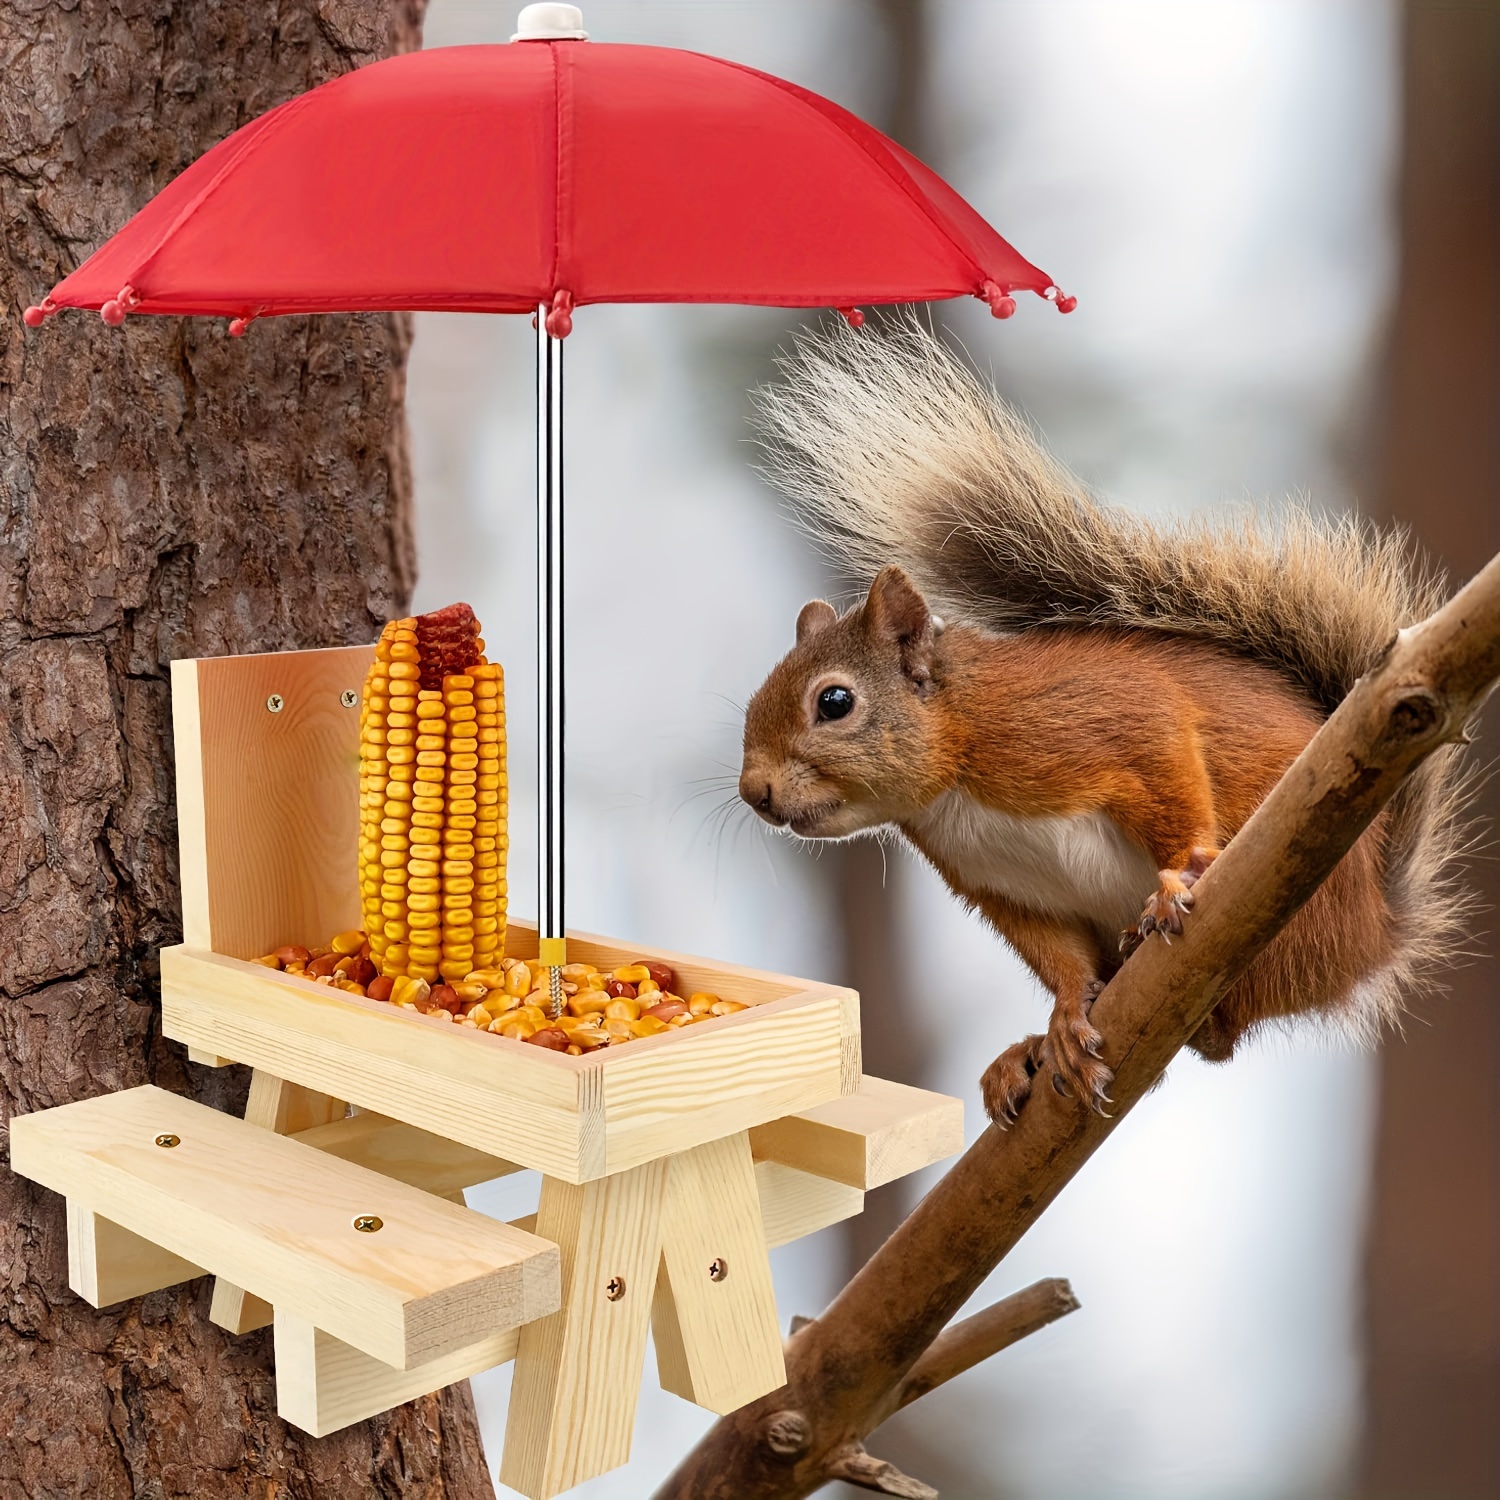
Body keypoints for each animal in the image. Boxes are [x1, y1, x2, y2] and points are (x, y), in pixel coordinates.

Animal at [732, 316, 1470, 1128]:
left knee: (1230, 1029)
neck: (957, 771)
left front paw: (1179, 879)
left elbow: (1169, 771)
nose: (754, 793)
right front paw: (1059, 1020)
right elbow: (1058, 958)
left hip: (1291, 914)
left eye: (834, 702)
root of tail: (1376, 931)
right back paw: (1025, 1055)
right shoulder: (1005, 888)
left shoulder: (1106, 721)